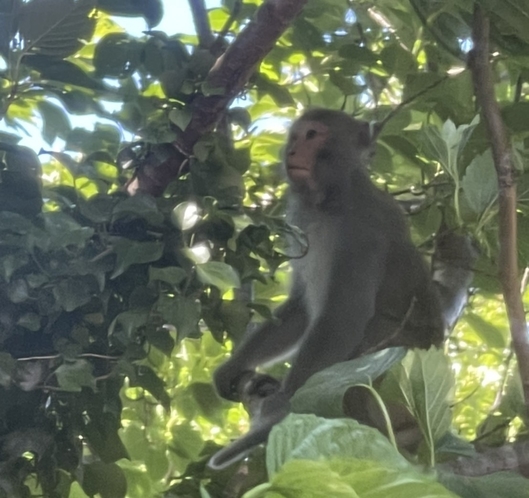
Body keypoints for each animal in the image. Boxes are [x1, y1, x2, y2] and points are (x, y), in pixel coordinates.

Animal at [208, 109, 472, 470]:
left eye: (313, 135)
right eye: (296, 136)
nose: (292, 151)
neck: (331, 198)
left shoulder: (361, 231)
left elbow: (343, 318)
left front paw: (283, 407)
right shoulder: (301, 222)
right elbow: (301, 310)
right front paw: (234, 367)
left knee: (372, 343)